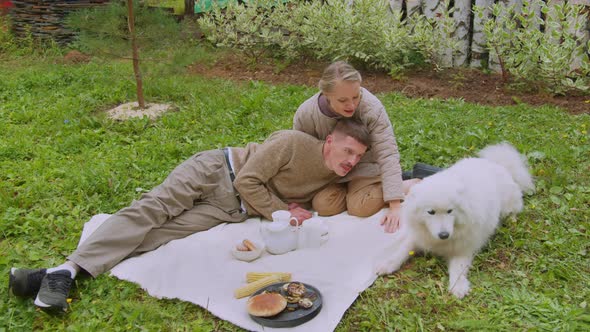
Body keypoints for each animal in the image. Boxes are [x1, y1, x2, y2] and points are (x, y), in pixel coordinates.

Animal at [380, 143, 536, 298]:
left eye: (450, 211)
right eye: (431, 212)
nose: (444, 235)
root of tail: (496, 163)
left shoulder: (463, 248)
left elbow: (458, 268)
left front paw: (458, 287)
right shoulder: (418, 237)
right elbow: (402, 250)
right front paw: (387, 264)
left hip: (508, 204)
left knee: (514, 210)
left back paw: (511, 220)